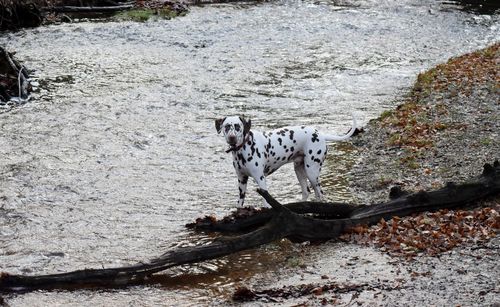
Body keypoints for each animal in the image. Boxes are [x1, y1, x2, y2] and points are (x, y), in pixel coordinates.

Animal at [215, 115, 356, 207]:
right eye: (227, 127)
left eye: (237, 127)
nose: (232, 138)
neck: (243, 148)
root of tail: (320, 134)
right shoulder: (242, 179)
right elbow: (240, 203)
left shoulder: (260, 179)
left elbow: (265, 202)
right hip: (299, 170)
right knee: (307, 192)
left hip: (312, 172)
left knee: (320, 193)